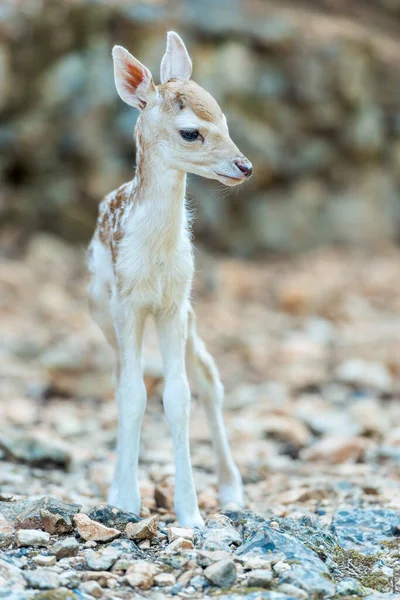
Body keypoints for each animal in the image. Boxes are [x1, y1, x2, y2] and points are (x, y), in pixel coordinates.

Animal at [88, 30, 253, 528]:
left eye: (223, 117)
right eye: (191, 132)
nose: (244, 167)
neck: (155, 259)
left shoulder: (175, 302)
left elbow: (179, 397)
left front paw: (191, 514)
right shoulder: (128, 304)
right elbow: (133, 395)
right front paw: (126, 501)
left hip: (191, 316)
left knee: (210, 380)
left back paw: (232, 490)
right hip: (103, 313)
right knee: (122, 381)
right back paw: (115, 487)